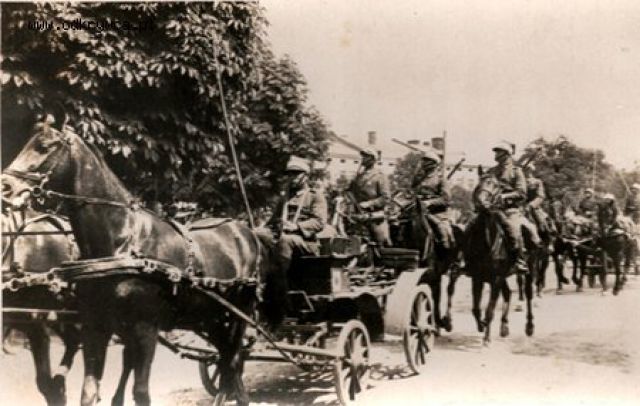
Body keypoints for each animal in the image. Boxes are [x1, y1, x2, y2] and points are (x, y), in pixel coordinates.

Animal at [464, 174, 538, 344]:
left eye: (496, 186)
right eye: (478, 184)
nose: (481, 202)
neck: (486, 242)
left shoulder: (496, 279)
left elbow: (490, 309)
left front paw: (486, 338)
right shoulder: (477, 278)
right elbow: (475, 308)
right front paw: (481, 325)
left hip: (529, 270)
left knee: (528, 294)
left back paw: (529, 326)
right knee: (508, 293)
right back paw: (504, 326)